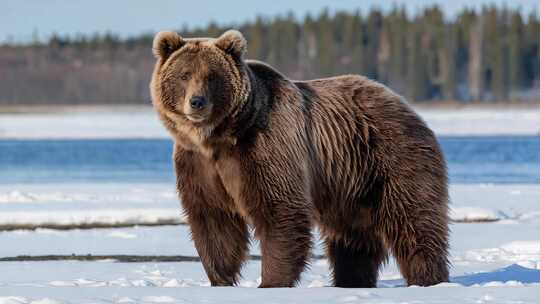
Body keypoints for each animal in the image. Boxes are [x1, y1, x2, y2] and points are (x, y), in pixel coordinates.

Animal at [150, 29, 450, 288]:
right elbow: (213, 220)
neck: (220, 137)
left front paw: (270, 282)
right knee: (351, 237)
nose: (197, 102)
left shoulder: (266, 146)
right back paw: (351, 280)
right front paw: (221, 280)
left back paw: (428, 278)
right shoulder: (198, 164)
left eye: (212, 76)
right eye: (184, 75)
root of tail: (403, 103)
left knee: (413, 221)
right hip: (348, 183)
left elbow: (280, 211)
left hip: (392, 157)